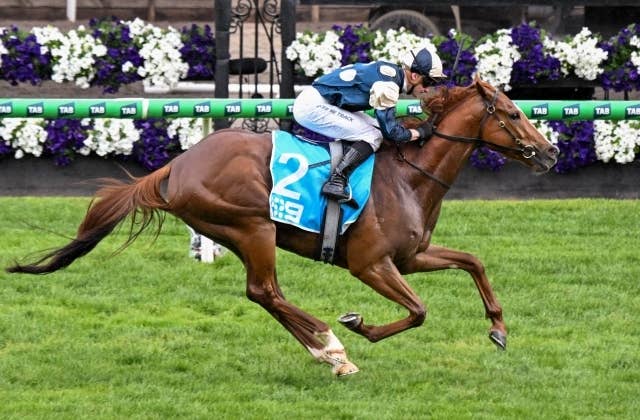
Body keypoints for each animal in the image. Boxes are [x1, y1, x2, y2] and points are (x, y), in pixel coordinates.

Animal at [6, 77, 559, 376]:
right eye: (512, 114)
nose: (551, 152)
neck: (409, 177)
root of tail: (176, 166)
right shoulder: (369, 264)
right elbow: (419, 311)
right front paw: (358, 325)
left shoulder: (411, 257)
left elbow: (473, 262)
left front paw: (499, 329)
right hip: (251, 226)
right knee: (265, 290)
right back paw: (331, 344)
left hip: (241, 231)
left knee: (264, 294)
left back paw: (325, 351)